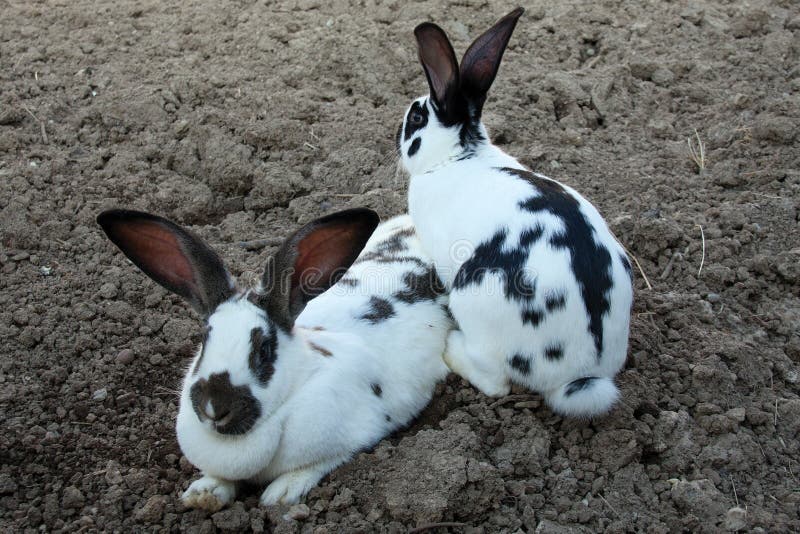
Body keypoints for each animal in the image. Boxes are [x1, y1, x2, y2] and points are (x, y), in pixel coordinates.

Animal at [97, 208, 451, 509]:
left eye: (264, 350)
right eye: (205, 338)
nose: (214, 407)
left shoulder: (359, 431)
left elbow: (320, 463)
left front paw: (281, 494)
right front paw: (203, 493)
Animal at [395, 7, 634, 418]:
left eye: (416, 118)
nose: (396, 134)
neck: (456, 157)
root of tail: (581, 374)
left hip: (473, 303)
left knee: (495, 382)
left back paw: (452, 347)